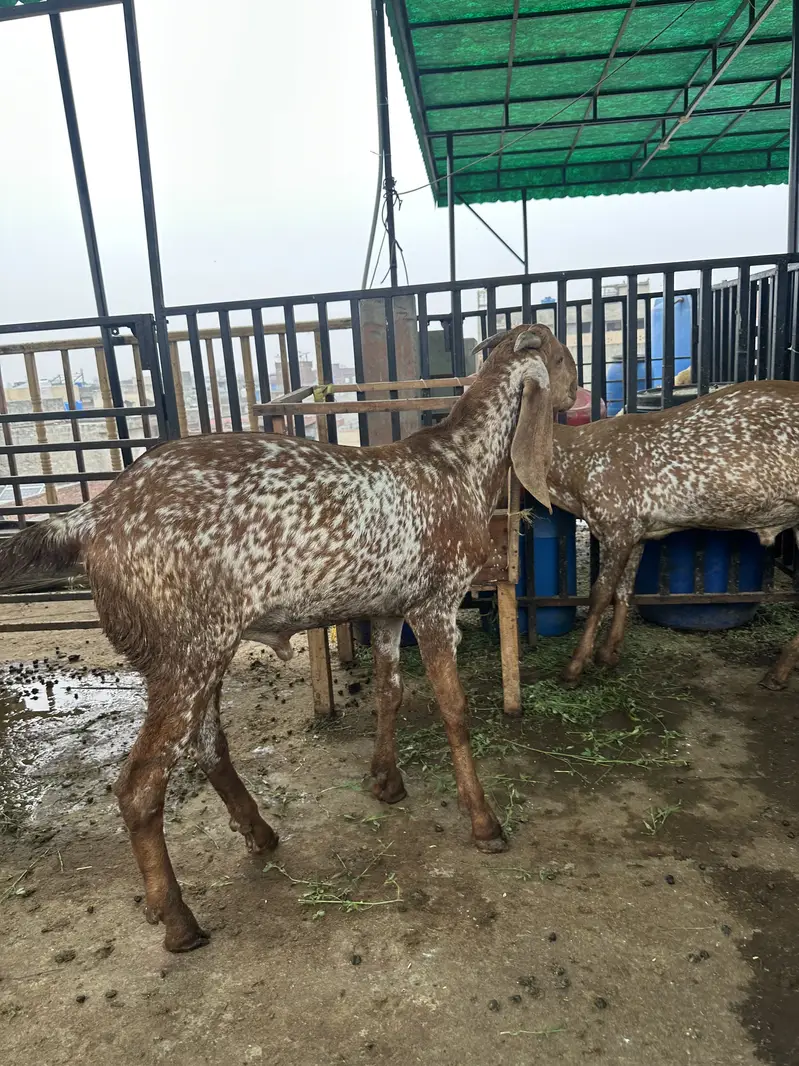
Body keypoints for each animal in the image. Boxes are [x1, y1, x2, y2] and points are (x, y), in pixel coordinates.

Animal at [0, 323, 577, 952]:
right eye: (566, 359)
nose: (577, 394)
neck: (458, 463)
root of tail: (94, 516)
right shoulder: (435, 604)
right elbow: (454, 709)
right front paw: (484, 823)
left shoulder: (387, 610)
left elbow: (389, 691)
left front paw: (386, 781)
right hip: (187, 652)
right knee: (141, 782)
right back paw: (178, 920)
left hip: (201, 650)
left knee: (207, 746)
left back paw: (259, 832)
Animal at [545, 380, 799, 686]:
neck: (576, 462)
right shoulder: (636, 533)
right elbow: (623, 592)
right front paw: (608, 654)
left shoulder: (617, 527)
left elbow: (600, 595)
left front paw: (575, 665)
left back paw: (779, 670)